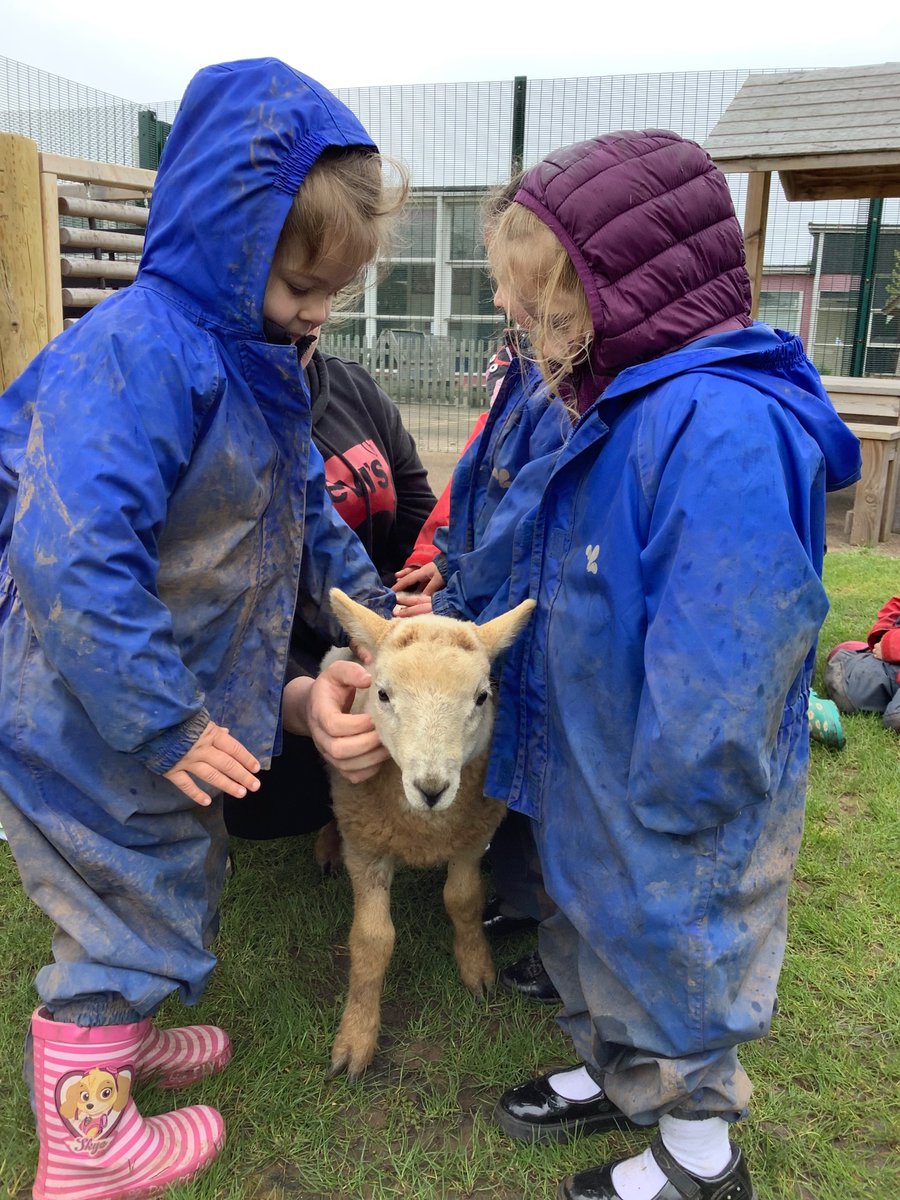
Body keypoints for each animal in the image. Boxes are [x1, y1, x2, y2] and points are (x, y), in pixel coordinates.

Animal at [323, 587, 536, 1080]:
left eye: (481, 697)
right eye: (382, 694)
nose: (433, 788)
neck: (424, 830)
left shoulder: (471, 838)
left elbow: (463, 901)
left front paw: (477, 969)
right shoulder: (366, 849)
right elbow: (372, 941)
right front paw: (357, 1038)